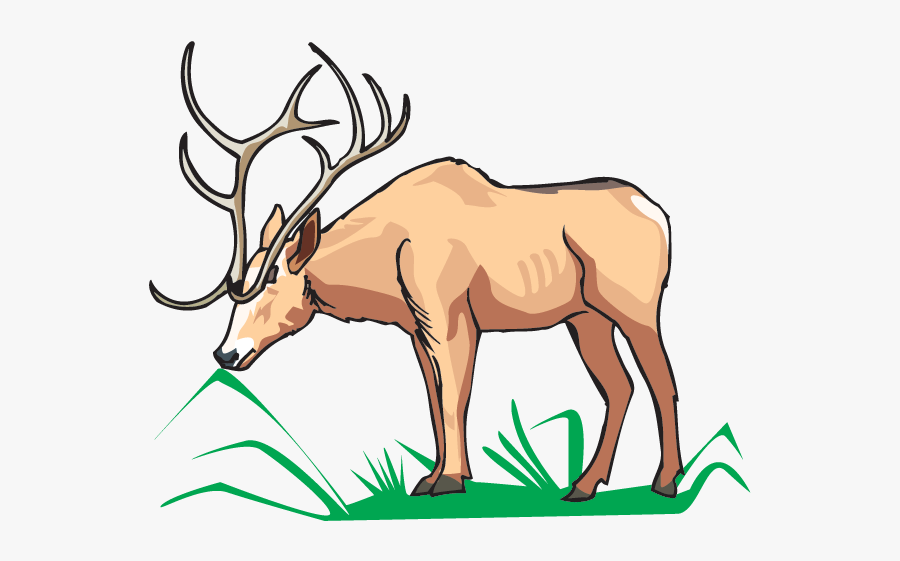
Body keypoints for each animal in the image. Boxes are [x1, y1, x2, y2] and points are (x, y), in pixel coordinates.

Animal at [151, 42, 684, 501]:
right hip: (585, 318)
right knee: (620, 386)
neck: (382, 266)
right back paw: (583, 484)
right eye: (236, 291)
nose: (226, 353)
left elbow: (455, 397)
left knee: (661, 379)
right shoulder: (415, 329)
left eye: (272, 284)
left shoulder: (451, 317)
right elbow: (432, 398)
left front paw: (450, 480)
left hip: (634, 306)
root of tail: (660, 215)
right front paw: (432, 475)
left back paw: (665, 481)